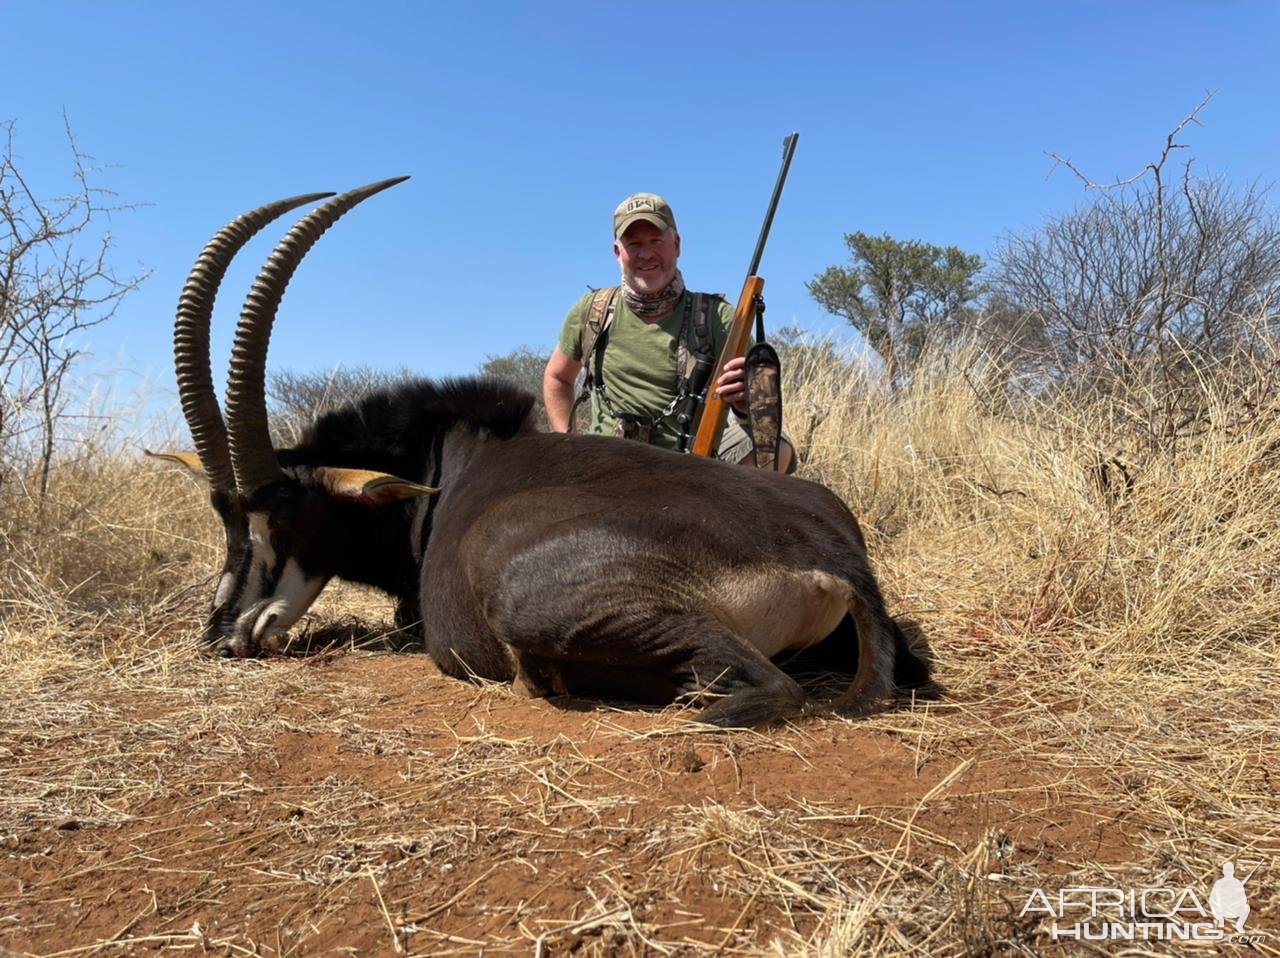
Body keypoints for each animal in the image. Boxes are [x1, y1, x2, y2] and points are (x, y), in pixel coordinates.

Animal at [157, 179, 931, 727]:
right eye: (225, 518)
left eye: (285, 517)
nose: (222, 635)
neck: (443, 462)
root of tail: (828, 560)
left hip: (528, 591)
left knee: (760, 686)